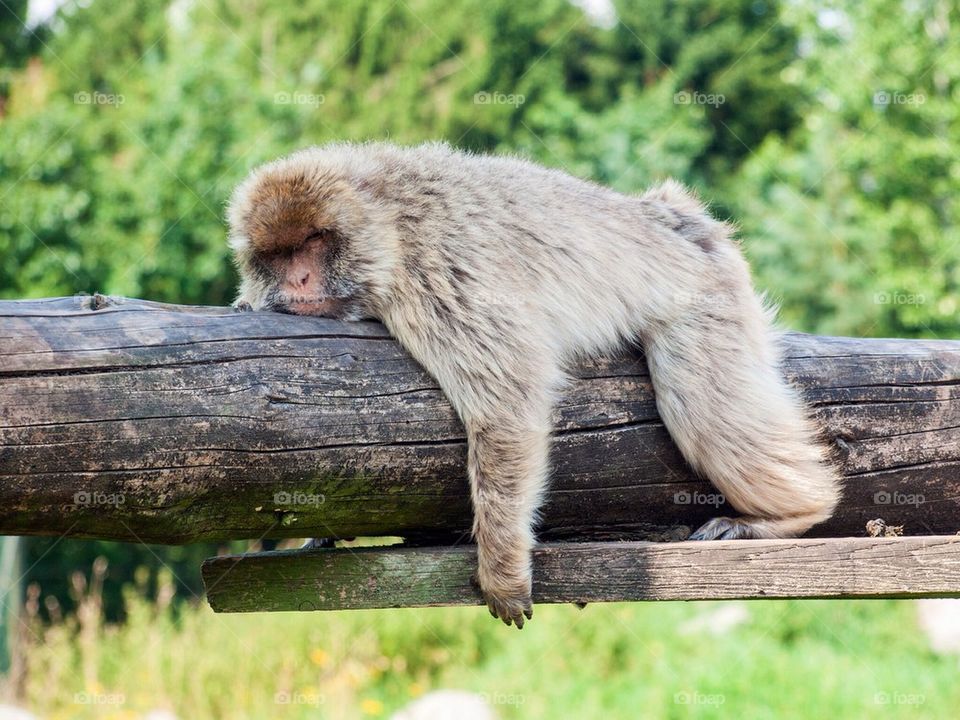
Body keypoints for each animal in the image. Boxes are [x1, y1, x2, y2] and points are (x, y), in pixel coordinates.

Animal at [226, 141, 841, 629]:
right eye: (279, 255)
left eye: (314, 240)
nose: (299, 279)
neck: (391, 224)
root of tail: (675, 214)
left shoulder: (441, 274)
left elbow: (507, 407)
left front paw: (500, 568)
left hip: (706, 295)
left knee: (701, 404)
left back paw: (788, 514)